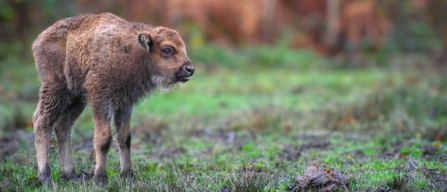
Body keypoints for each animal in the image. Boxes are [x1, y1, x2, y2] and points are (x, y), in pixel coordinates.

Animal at [31, 12, 192, 186]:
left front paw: (128, 176)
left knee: (63, 127)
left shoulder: (126, 104)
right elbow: (104, 139)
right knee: (42, 122)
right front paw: (101, 178)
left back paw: (71, 175)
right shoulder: (101, 101)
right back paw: (46, 177)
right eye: (167, 49)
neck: (135, 51)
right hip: (56, 89)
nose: (190, 69)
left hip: (77, 98)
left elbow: (125, 138)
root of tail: (39, 40)